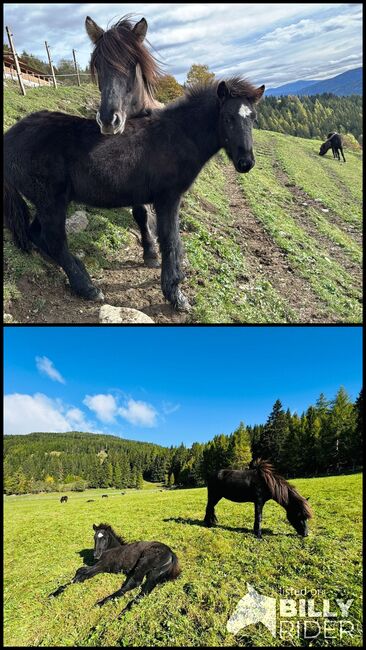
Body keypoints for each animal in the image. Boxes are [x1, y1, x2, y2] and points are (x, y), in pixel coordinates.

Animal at [4, 77, 264, 310]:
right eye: (228, 117)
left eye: (253, 118)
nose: (246, 163)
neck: (177, 136)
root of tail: (10, 137)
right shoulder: (167, 198)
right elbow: (170, 240)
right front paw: (175, 294)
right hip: (51, 200)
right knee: (54, 239)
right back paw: (87, 287)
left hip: (47, 201)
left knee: (37, 234)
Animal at [48, 520, 180, 612]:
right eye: (94, 537)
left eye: (104, 538)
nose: (96, 555)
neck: (110, 550)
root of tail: (171, 553)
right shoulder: (98, 566)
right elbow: (80, 572)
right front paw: (55, 593)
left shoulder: (102, 566)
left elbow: (82, 574)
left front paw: (55, 593)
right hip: (154, 573)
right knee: (146, 588)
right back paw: (128, 608)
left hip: (143, 563)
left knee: (134, 582)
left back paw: (103, 603)